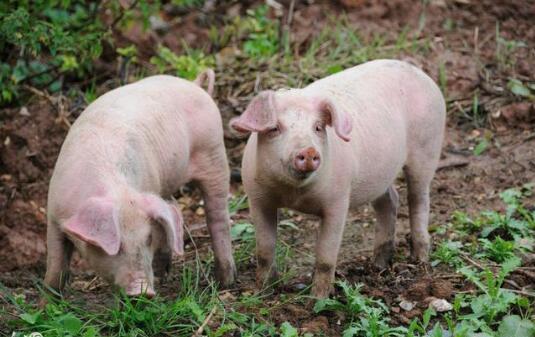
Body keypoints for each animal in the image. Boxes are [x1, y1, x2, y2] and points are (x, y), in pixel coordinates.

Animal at [45, 69, 237, 296]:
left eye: (148, 238)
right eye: (117, 246)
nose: (142, 290)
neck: (117, 190)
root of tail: (195, 85)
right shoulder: (54, 214)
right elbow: (55, 266)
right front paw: (47, 301)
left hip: (214, 154)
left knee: (218, 217)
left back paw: (225, 281)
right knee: (173, 208)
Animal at [232, 60, 446, 296]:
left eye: (317, 127)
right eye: (275, 128)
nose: (308, 151)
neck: (294, 195)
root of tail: (419, 73)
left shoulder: (338, 201)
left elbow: (326, 258)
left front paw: (318, 299)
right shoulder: (257, 198)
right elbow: (264, 251)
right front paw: (263, 292)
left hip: (427, 148)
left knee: (418, 200)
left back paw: (419, 259)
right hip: (381, 175)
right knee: (390, 200)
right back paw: (379, 265)